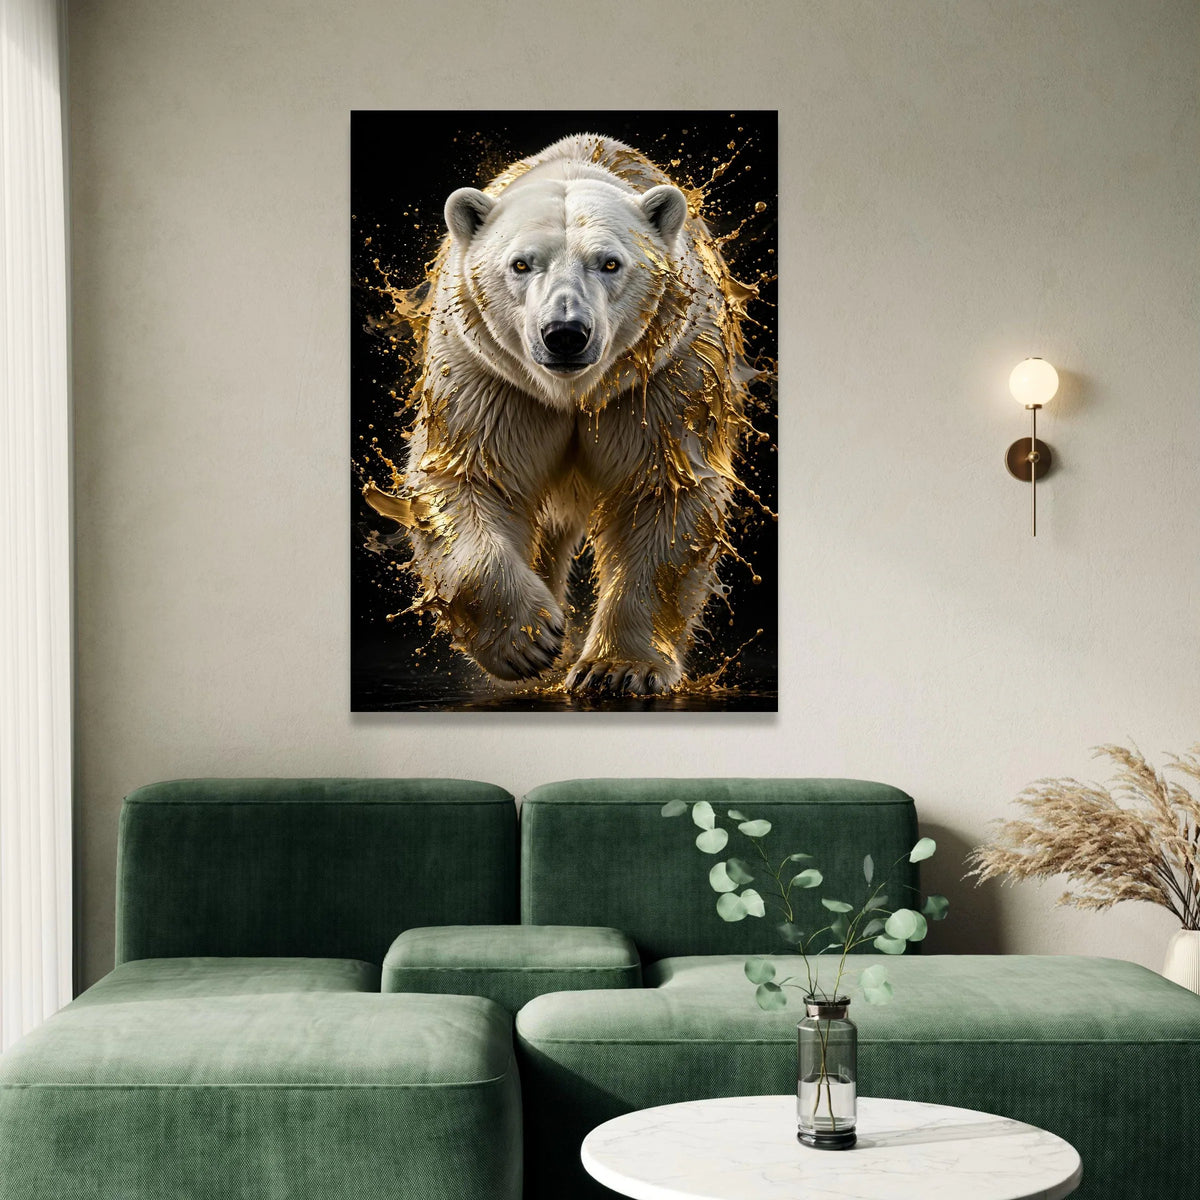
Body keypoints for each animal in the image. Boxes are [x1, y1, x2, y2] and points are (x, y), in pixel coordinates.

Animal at [365, 133, 758, 696]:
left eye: (610, 263)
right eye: (521, 263)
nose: (566, 333)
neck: (570, 393)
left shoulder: (660, 378)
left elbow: (666, 490)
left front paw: (618, 669)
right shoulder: (491, 379)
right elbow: (466, 478)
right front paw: (529, 640)